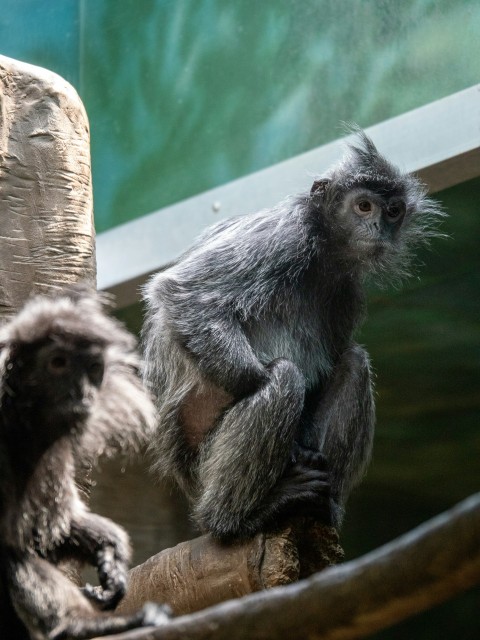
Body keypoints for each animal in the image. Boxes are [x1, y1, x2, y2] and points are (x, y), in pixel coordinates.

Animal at [0, 292, 170, 640]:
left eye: (93, 368)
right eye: (57, 363)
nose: (81, 393)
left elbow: (53, 525)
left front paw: (109, 550)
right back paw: (77, 625)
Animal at [142, 132, 442, 544]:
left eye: (393, 211)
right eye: (363, 206)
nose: (379, 227)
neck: (322, 250)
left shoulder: (347, 293)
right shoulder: (282, 237)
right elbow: (182, 295)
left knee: (353, 362)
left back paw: (322, 506)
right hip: (200, 458)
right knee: (284, 376)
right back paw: (232, 519)